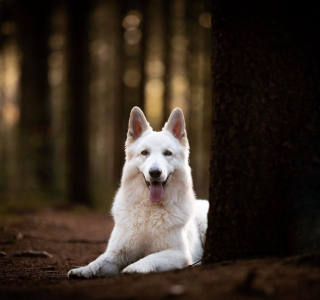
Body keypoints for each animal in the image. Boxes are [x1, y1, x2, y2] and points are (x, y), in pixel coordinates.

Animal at [68, 108, 209, 278]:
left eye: (168, 153)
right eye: (144, 152)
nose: (155, 172)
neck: (150, 210)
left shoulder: (179, 254)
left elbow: (150, 257)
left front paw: (134, 267)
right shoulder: (117, 252)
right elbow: (98, 261)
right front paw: (82, 269)